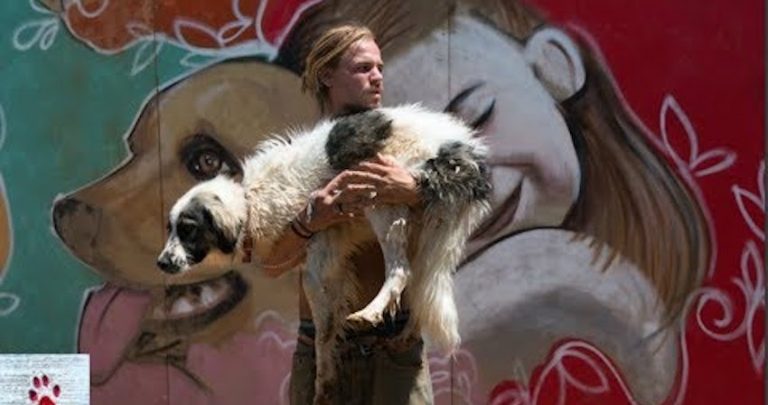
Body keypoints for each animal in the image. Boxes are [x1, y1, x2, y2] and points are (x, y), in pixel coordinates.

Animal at [158, 104, 492, 400]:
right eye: (170, 228)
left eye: (187, 229)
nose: (160, 263)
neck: (249, 200)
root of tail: (460, 147)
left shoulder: (319, 261)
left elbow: (323, 329)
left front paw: (324, 379)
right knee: (420, 285)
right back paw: (405, 333)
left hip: (382, 199)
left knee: (401, 271)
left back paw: (370, 313)